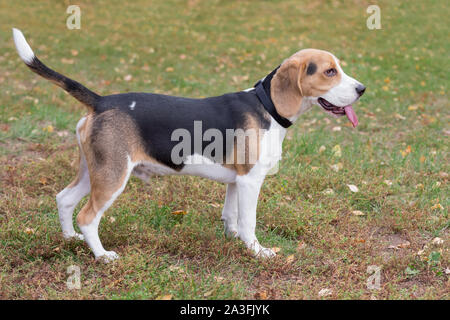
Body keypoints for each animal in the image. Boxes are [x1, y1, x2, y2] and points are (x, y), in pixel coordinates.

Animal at [13, 28, 366, 262]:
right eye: (330, 72)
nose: (362, 89)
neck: (266, 105)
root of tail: (100, 101)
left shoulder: (237, 180)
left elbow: (231, 216)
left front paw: (233, 240)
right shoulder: (251, 181)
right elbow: (249, 221)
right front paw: (258, 251)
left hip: (95, 169)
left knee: (64, 199)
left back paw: (70, 238)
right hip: (113, 175)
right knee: (88, 217)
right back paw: (102, 255)